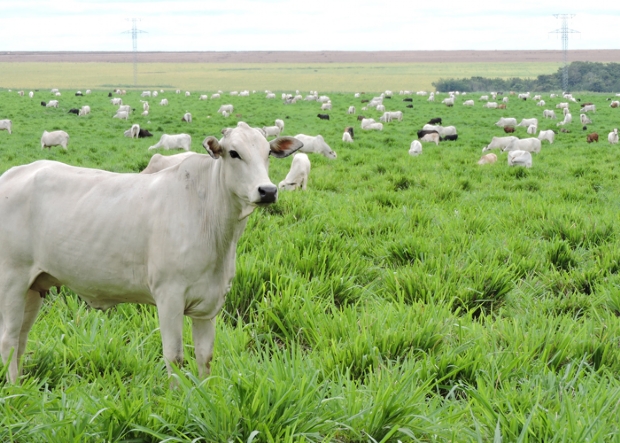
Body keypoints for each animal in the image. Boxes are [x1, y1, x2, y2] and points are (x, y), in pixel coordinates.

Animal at [0, 122, 302, 386]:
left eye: (268, 153)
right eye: (234, 153)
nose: (267, 190)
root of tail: (13, 173)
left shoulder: (209, 303)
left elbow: (205, 357)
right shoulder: (169, 295)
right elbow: (175, 357)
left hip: (34, 286)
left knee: (21, 338)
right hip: (12, 280)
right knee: (9, 339)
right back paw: (15, 388)